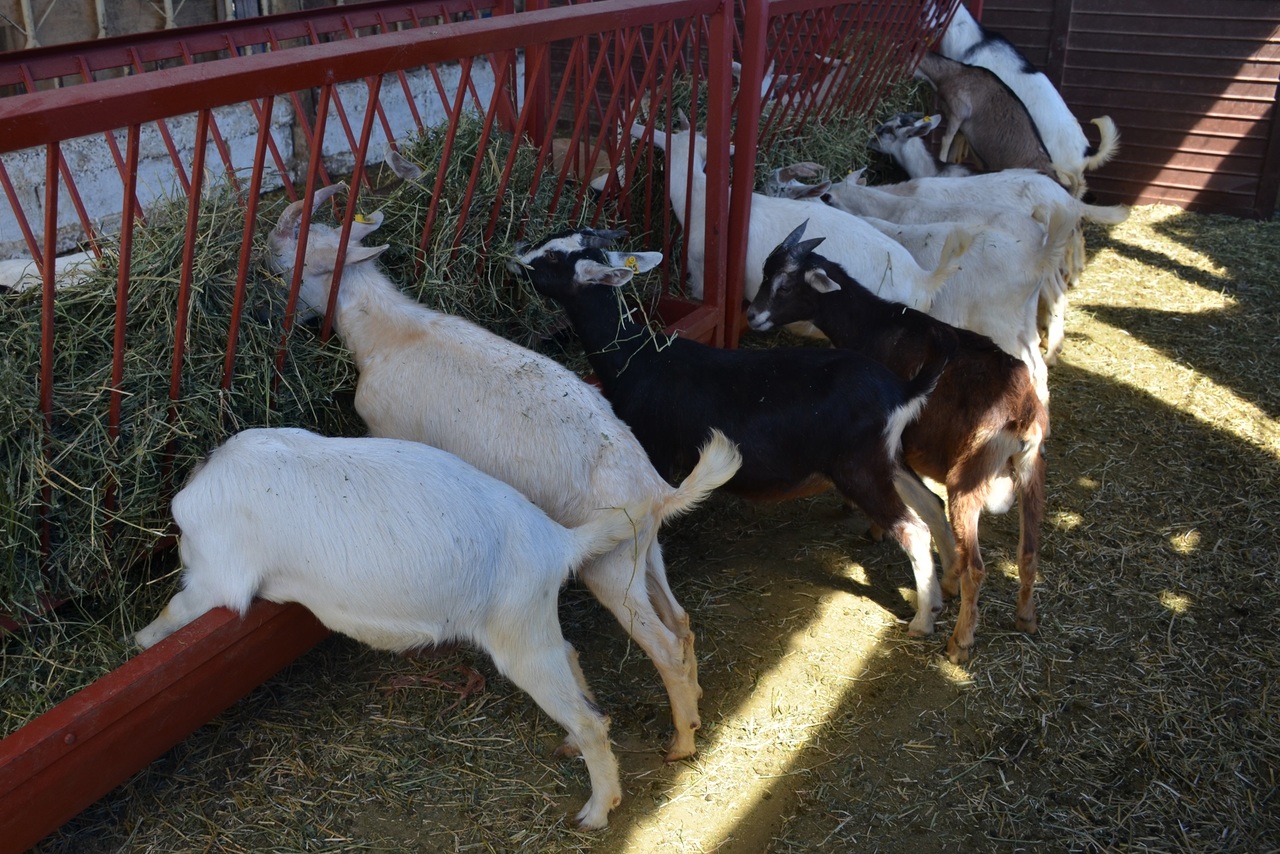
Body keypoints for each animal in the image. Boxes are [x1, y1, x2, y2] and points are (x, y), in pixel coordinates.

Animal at [135, 427, 645, 829]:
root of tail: (560, 542)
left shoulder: (219, 575)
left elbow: (178, 610)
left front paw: (140, 641)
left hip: (518, 630)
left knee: (588, 718)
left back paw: (595, 813)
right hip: (533, 622)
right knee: (574, 662)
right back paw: (570, 746)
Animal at [267, 186, 742, 763]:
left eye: (291, 256)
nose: (265, 291)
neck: (390, 332)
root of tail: (656, 491)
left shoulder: (387, 427)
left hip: (609, 568)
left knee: (665, 644)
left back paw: (679, 743)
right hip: (642, 549)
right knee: (681, 621)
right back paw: (693, 711)